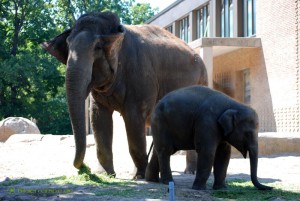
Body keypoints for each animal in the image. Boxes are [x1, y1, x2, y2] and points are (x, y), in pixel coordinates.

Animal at [41, 11, 206, 177]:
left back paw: (189, 171)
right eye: (68, 46)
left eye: (97, 47)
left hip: (202, 80)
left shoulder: (140, 74)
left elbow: (133, 119)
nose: (83, 168)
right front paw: (105, 174)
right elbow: (98, 118)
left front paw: (139, 175)